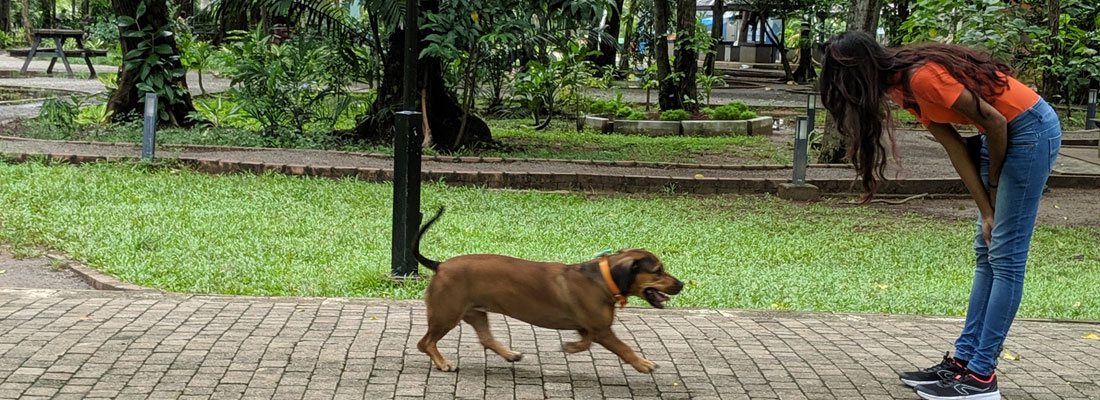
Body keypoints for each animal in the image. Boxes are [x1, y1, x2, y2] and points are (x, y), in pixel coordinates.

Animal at [413, 207, 682, 373]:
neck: (603, 278)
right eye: (658, 271)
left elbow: (586, 341)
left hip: (475, 311)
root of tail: (440, 265)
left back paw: (509, 354)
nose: (680, 284)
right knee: (425, 343)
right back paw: (443, 363)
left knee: (486, 338)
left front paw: (572, 347)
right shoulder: (602, 330)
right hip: (446, 314)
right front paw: (642, 364)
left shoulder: (589, 326)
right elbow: (622, 347)